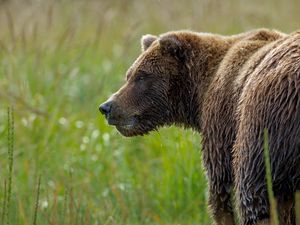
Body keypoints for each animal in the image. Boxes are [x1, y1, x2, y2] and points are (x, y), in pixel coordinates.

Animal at [99, 28, 300, 225]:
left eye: (141, 75)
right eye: (129, 75)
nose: (107, 107)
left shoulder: (222, 121)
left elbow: (220, 189)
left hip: (265, 127)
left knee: (254, 196)